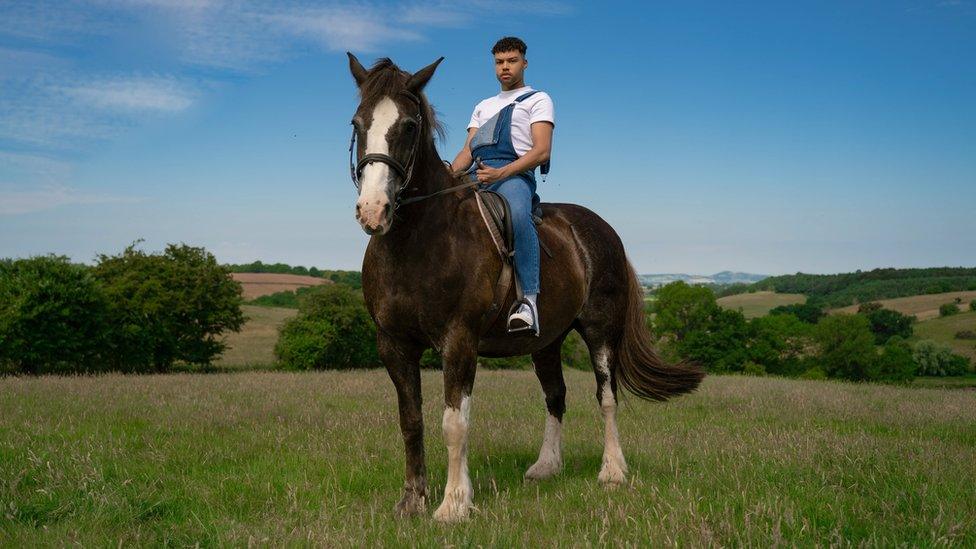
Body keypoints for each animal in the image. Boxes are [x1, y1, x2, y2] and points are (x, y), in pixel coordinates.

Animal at [346, 53, 704, 520]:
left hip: (600, 331)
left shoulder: (459, 340)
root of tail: (601, 229)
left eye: (408, 125)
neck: (419, 240)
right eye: (358, 123)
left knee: (606, 396)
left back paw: (612, 471)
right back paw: (546, 467)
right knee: (556, 396)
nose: (374, 210)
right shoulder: (394, 344)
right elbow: (411, 421)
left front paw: (454, 504)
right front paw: (412, 502)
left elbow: (454, 422)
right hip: (546, 340)